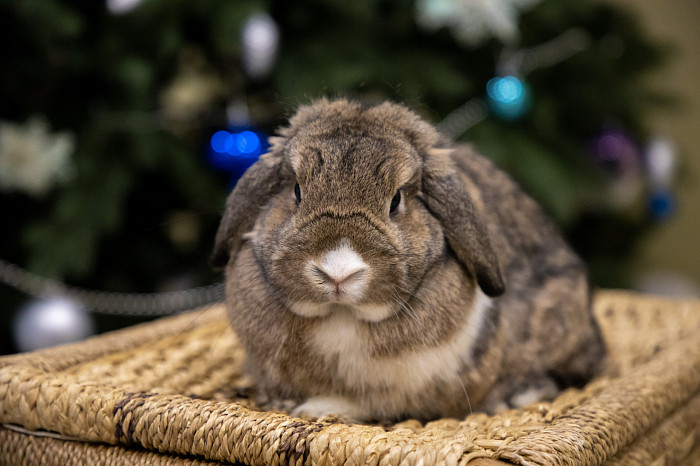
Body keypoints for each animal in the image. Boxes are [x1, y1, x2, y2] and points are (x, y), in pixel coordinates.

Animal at [212, 98, 608, 422]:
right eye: (296, 191)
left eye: (396, 201)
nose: (338, 272)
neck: (342, 317)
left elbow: (369, 404)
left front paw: (316, 409)